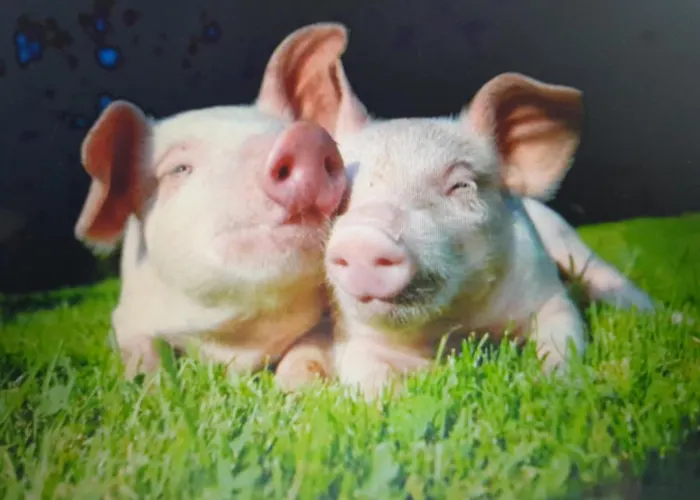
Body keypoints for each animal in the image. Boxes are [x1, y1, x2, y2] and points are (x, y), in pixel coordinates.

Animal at [72, 24, 359, 391]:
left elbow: (312, 345)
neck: (236, 342)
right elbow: (140, 349)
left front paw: (296, 387)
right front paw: (149, 387)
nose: (306, 138)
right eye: (179, 169)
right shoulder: (126, 316)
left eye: (286, 131)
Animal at [277, 23, 656, 398]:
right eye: (341, 192)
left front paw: (556, 385)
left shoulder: (547, 293)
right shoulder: (356, 337)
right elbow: (367, 377)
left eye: (461, 186)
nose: (363, 238)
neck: (455, 330)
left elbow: (563, 335)